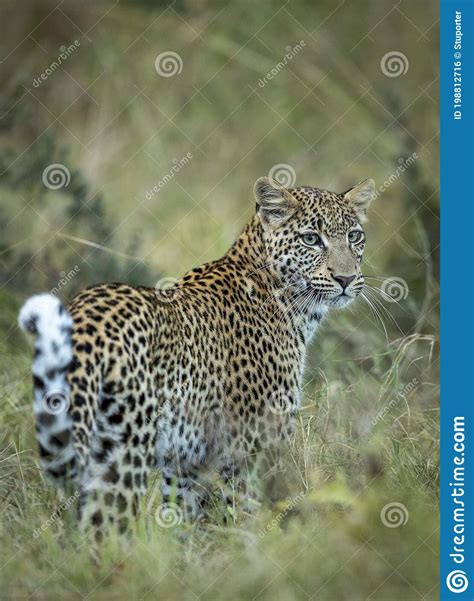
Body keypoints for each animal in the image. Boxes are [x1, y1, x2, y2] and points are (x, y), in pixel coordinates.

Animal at [17, 173, 374, 536]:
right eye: (311, 239)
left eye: (354, 236)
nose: (346, 278)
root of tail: (82, 315)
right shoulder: (251, 448)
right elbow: (249, 517)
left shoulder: (186, 462)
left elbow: (184, 522)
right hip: (125, 451)